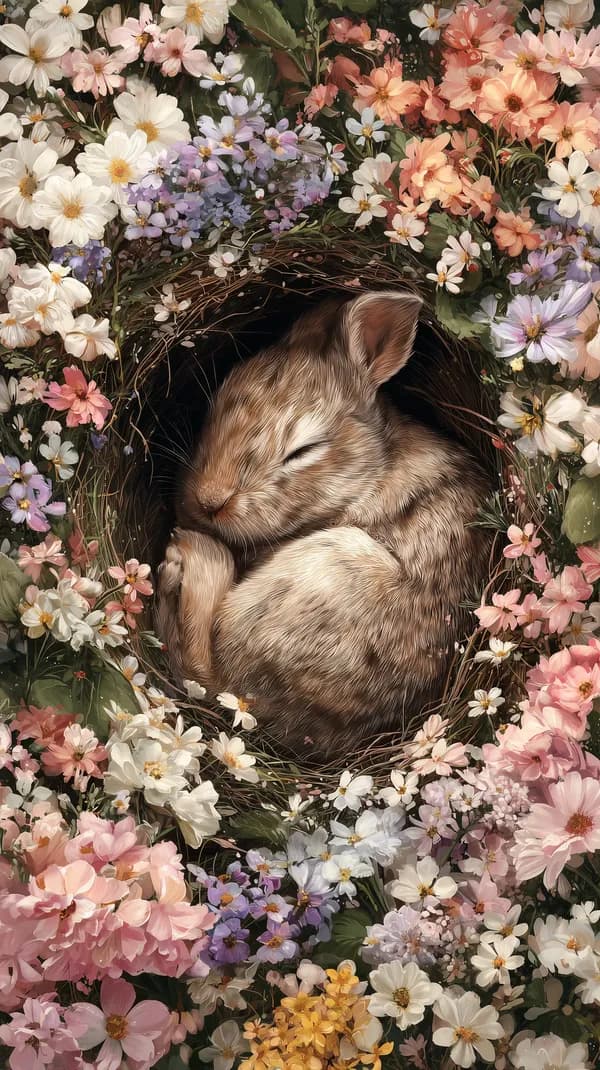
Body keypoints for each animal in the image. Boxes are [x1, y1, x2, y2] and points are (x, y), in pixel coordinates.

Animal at [156, 290, 492, 754]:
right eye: (219, 398)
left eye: (304, 450)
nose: (210, 500)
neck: (371, 475)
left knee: (207, 670)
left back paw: (187, 554)